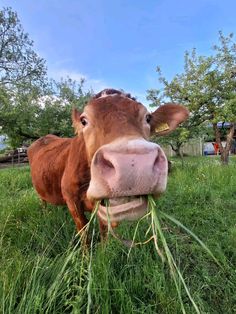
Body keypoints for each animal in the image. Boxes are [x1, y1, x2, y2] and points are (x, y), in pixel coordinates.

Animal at [27, 89, 189, 239]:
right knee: (42, 201)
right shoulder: (72, 201)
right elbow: (85, 234)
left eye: (148, 118)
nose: (132, 164)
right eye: (84, 120)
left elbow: (104, 232)